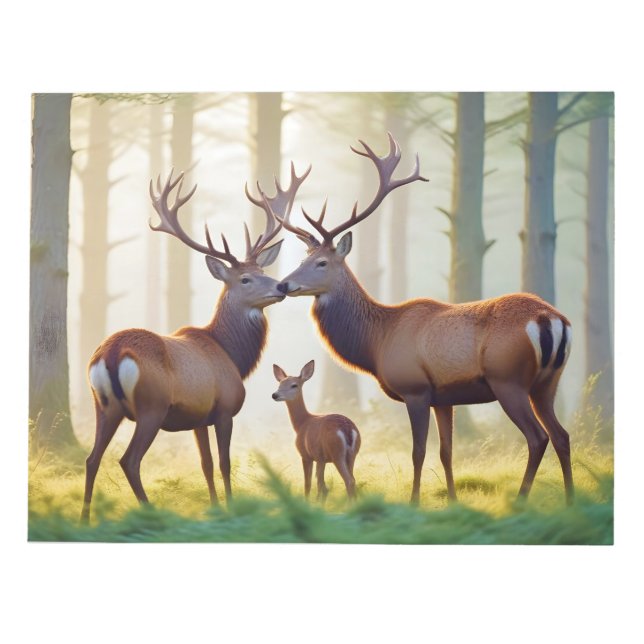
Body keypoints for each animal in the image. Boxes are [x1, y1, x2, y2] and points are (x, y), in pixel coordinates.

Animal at [81, 163, 311, 523]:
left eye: (262, 269)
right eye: (245, 279)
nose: (282, 287)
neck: (232, 356)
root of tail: (113, 353)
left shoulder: (198, 417)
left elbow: (205, 464)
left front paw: (215, 507)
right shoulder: (225, 408)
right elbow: (225, 462)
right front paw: (231, 509)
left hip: (103, 405)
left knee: (91, 458)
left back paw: (85, 518)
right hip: (151, 406)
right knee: (129, 460)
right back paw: (152, 514)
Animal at [272, 360, 361, 500]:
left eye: (294, 385)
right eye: (280, 383)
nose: (275, 395)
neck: (302, 423)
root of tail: (346, 428)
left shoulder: (306, 455)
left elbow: (309, 484)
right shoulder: (321, 458)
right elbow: (321, 486)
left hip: (337, 453)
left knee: (349, 480)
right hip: (352, 453)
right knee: (353, 479)